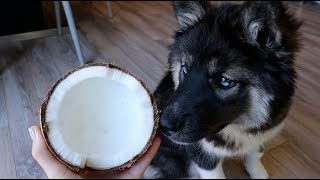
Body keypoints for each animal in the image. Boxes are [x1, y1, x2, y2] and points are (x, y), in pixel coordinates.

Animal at [144, 1, 302, 179]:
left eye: (225, 81)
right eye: (186, 69)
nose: (163, 125)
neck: (239, 125)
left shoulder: (265, 132)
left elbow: (255, 155)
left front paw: (258, 172)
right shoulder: (202, 156)